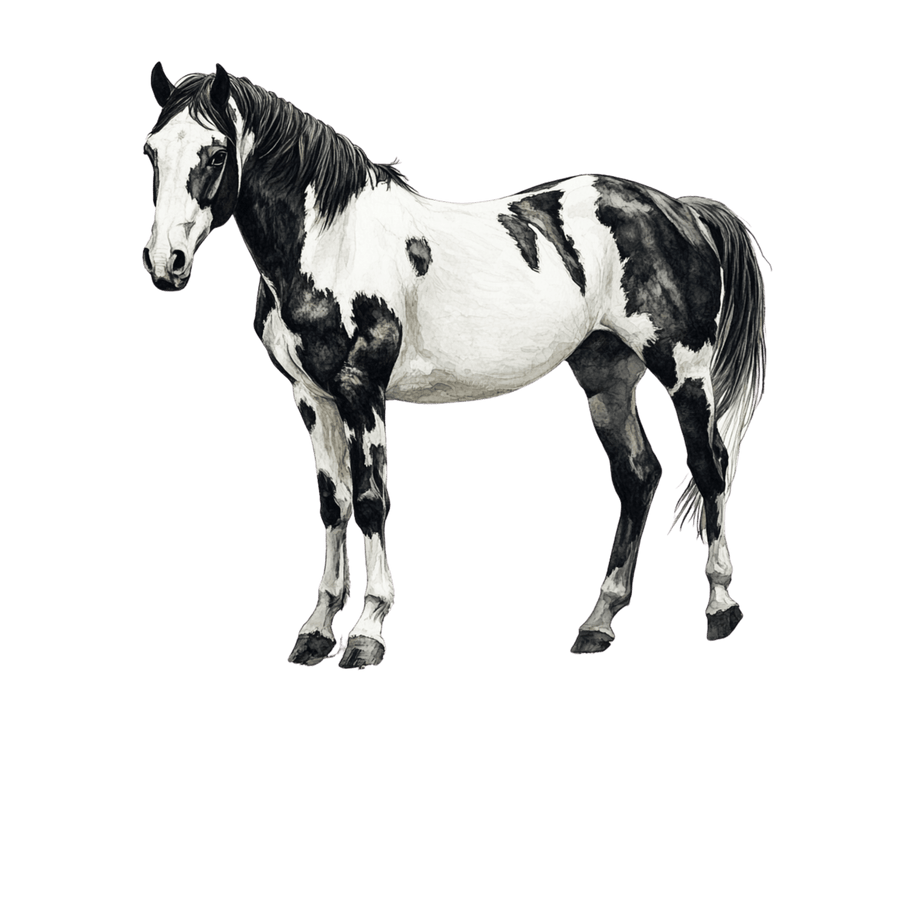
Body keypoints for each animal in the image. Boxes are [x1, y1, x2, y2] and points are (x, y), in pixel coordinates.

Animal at [140, 62, 769, 671]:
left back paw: (720, 606)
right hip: (605, 379)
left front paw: (366, 633)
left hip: (684, 373)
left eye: (216, 153)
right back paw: (598, 623)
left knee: (709, 466)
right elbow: (331, 503)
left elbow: (370, 502)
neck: (333, 245)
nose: (164, 262)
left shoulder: (361, 390)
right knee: (637, 476)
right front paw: (316, 633)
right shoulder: (310, 397)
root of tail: (680, 210)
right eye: (151, 150)